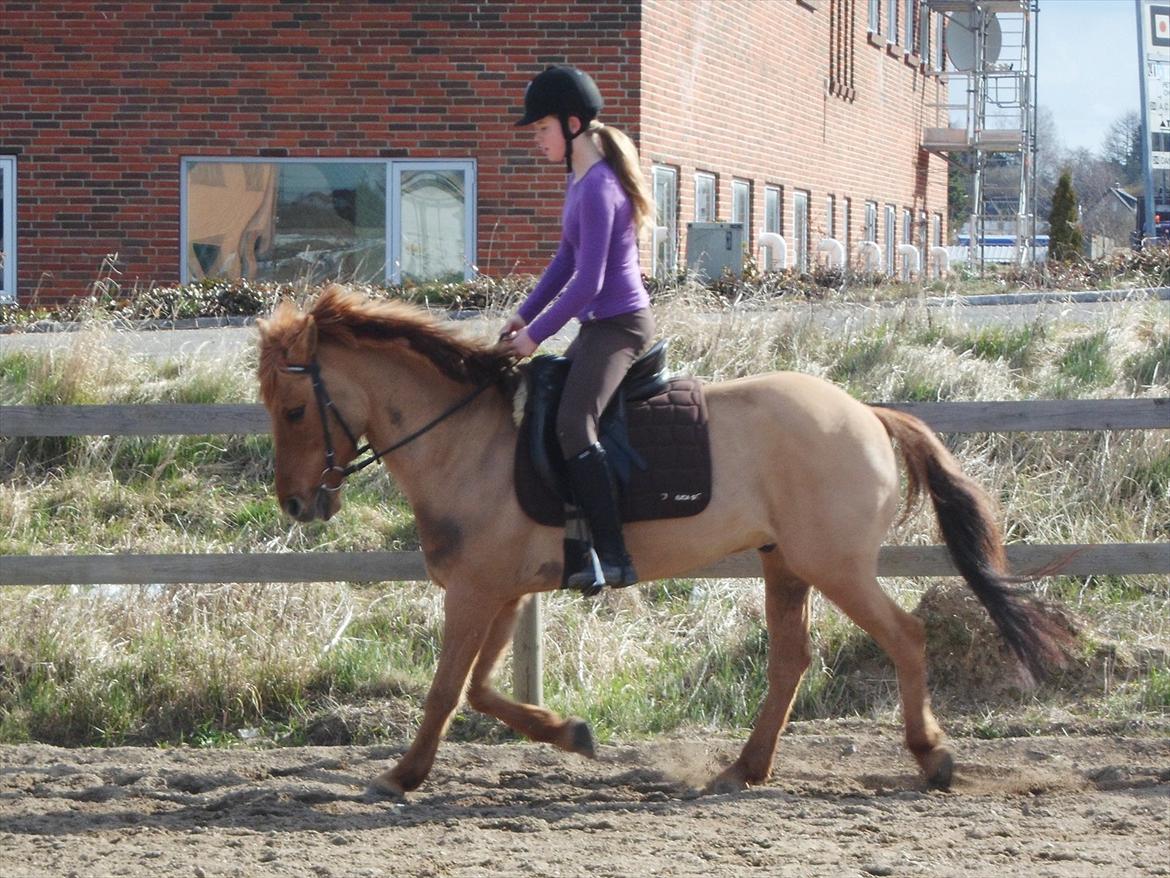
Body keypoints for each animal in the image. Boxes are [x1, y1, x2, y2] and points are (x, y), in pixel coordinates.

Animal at [256, 284, 1066, 798]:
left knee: (905, 636)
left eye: (294, 409)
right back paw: (744, 770)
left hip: (835, 566)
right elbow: (482, 690)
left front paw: (402, 775)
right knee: (791, 659)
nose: (296, 503)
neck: (466, 442)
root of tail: (866, 413)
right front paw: (570, 733)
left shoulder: (476, 593)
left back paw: (931, 757)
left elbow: (446, 691)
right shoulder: (504, 592)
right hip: (786, 565)